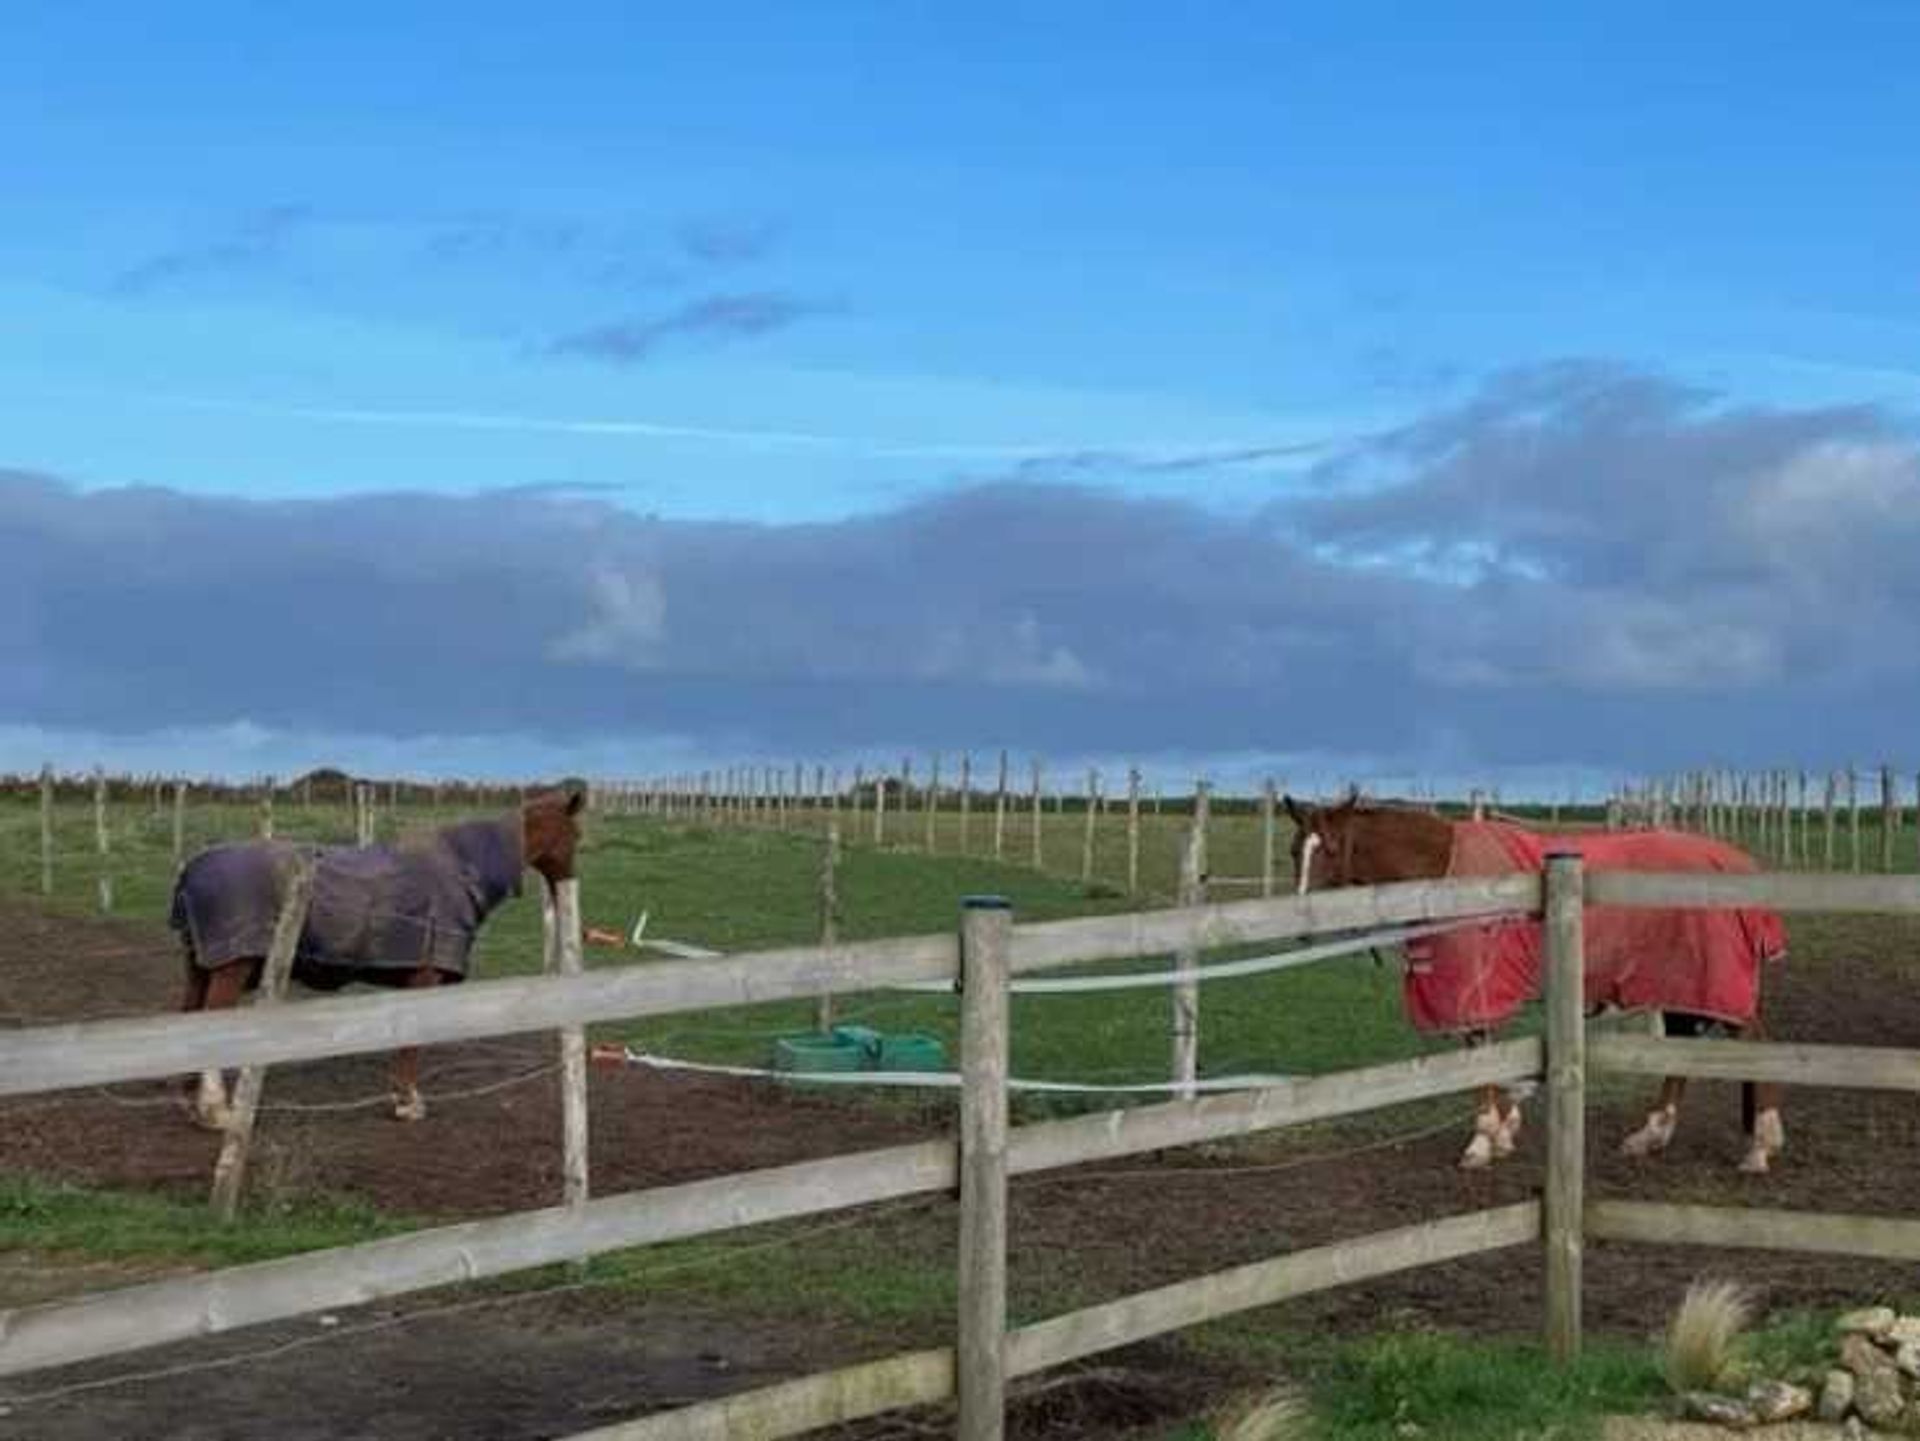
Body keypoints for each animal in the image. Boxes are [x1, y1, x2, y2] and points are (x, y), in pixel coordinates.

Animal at [175, 782, 579, 1135]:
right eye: (575, 835)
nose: (569, 883)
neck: (463, 868)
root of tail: (192, 868)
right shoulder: (426, 977)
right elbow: (412, 1040)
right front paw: (407, 1103)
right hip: (230, 968)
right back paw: (216, 1111)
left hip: (199, 965)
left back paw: (193, 1105)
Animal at [1282, 794, 1789, 1174]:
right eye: (1293, 849)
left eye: (1330, 847)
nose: (1302, 925)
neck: (1444, 871)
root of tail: (1733, 864)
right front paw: (1507, 1127)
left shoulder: (1475, 988)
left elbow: (1480, 1054)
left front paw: (1483, 1140)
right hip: (1680, 982)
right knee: (1684, 1047)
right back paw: (1652, 1134)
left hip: (1713, 980)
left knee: (1751, 1038)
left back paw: (1760, 1145)